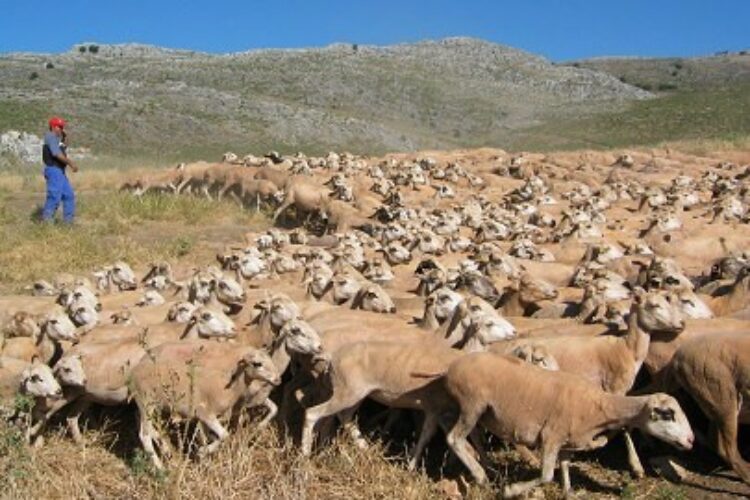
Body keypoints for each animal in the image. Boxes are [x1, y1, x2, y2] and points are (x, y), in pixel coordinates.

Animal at [438, 354, 696, 498]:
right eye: (668, 414)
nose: (691, 440)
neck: (599, 407)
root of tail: (453, 367)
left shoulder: (567, 442)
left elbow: (564, 467)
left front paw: (569, 492)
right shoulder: (551, 437)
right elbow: (546, 476)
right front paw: (511, 491)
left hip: (481, 412)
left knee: (474, 436)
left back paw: (487, 467)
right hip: (472, 403)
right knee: (454, 438)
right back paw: (481, 476)